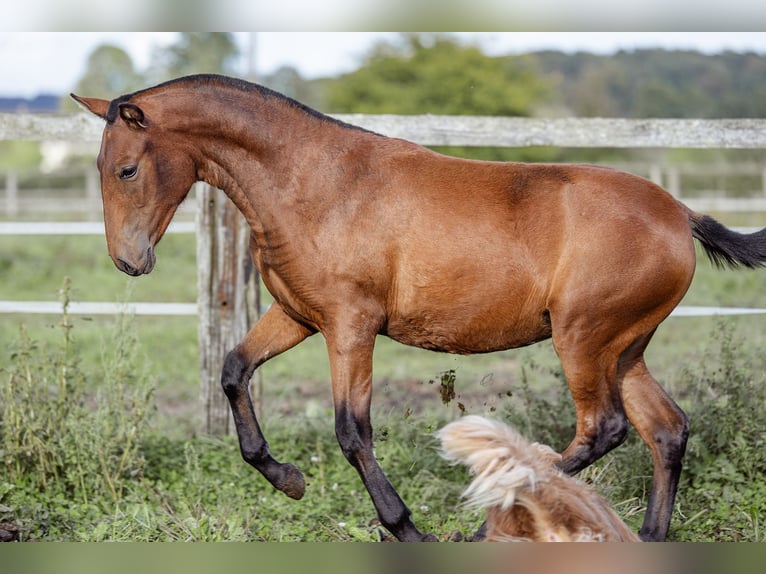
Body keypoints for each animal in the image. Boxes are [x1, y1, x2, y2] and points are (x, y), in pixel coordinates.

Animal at [73, 75, 766, 544]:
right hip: (624, 348)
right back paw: (644, 539)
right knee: (666, 428)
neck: (316, 183)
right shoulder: (298, 316)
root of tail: (681, 214)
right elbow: (233, 370)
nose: (129, 262)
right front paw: (287, 478)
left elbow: (352, 431)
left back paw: (483, 531)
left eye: (127, 169)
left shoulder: (351, 326)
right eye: (100, 167)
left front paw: (405, 527)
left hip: (582, 339)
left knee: (605, 429)